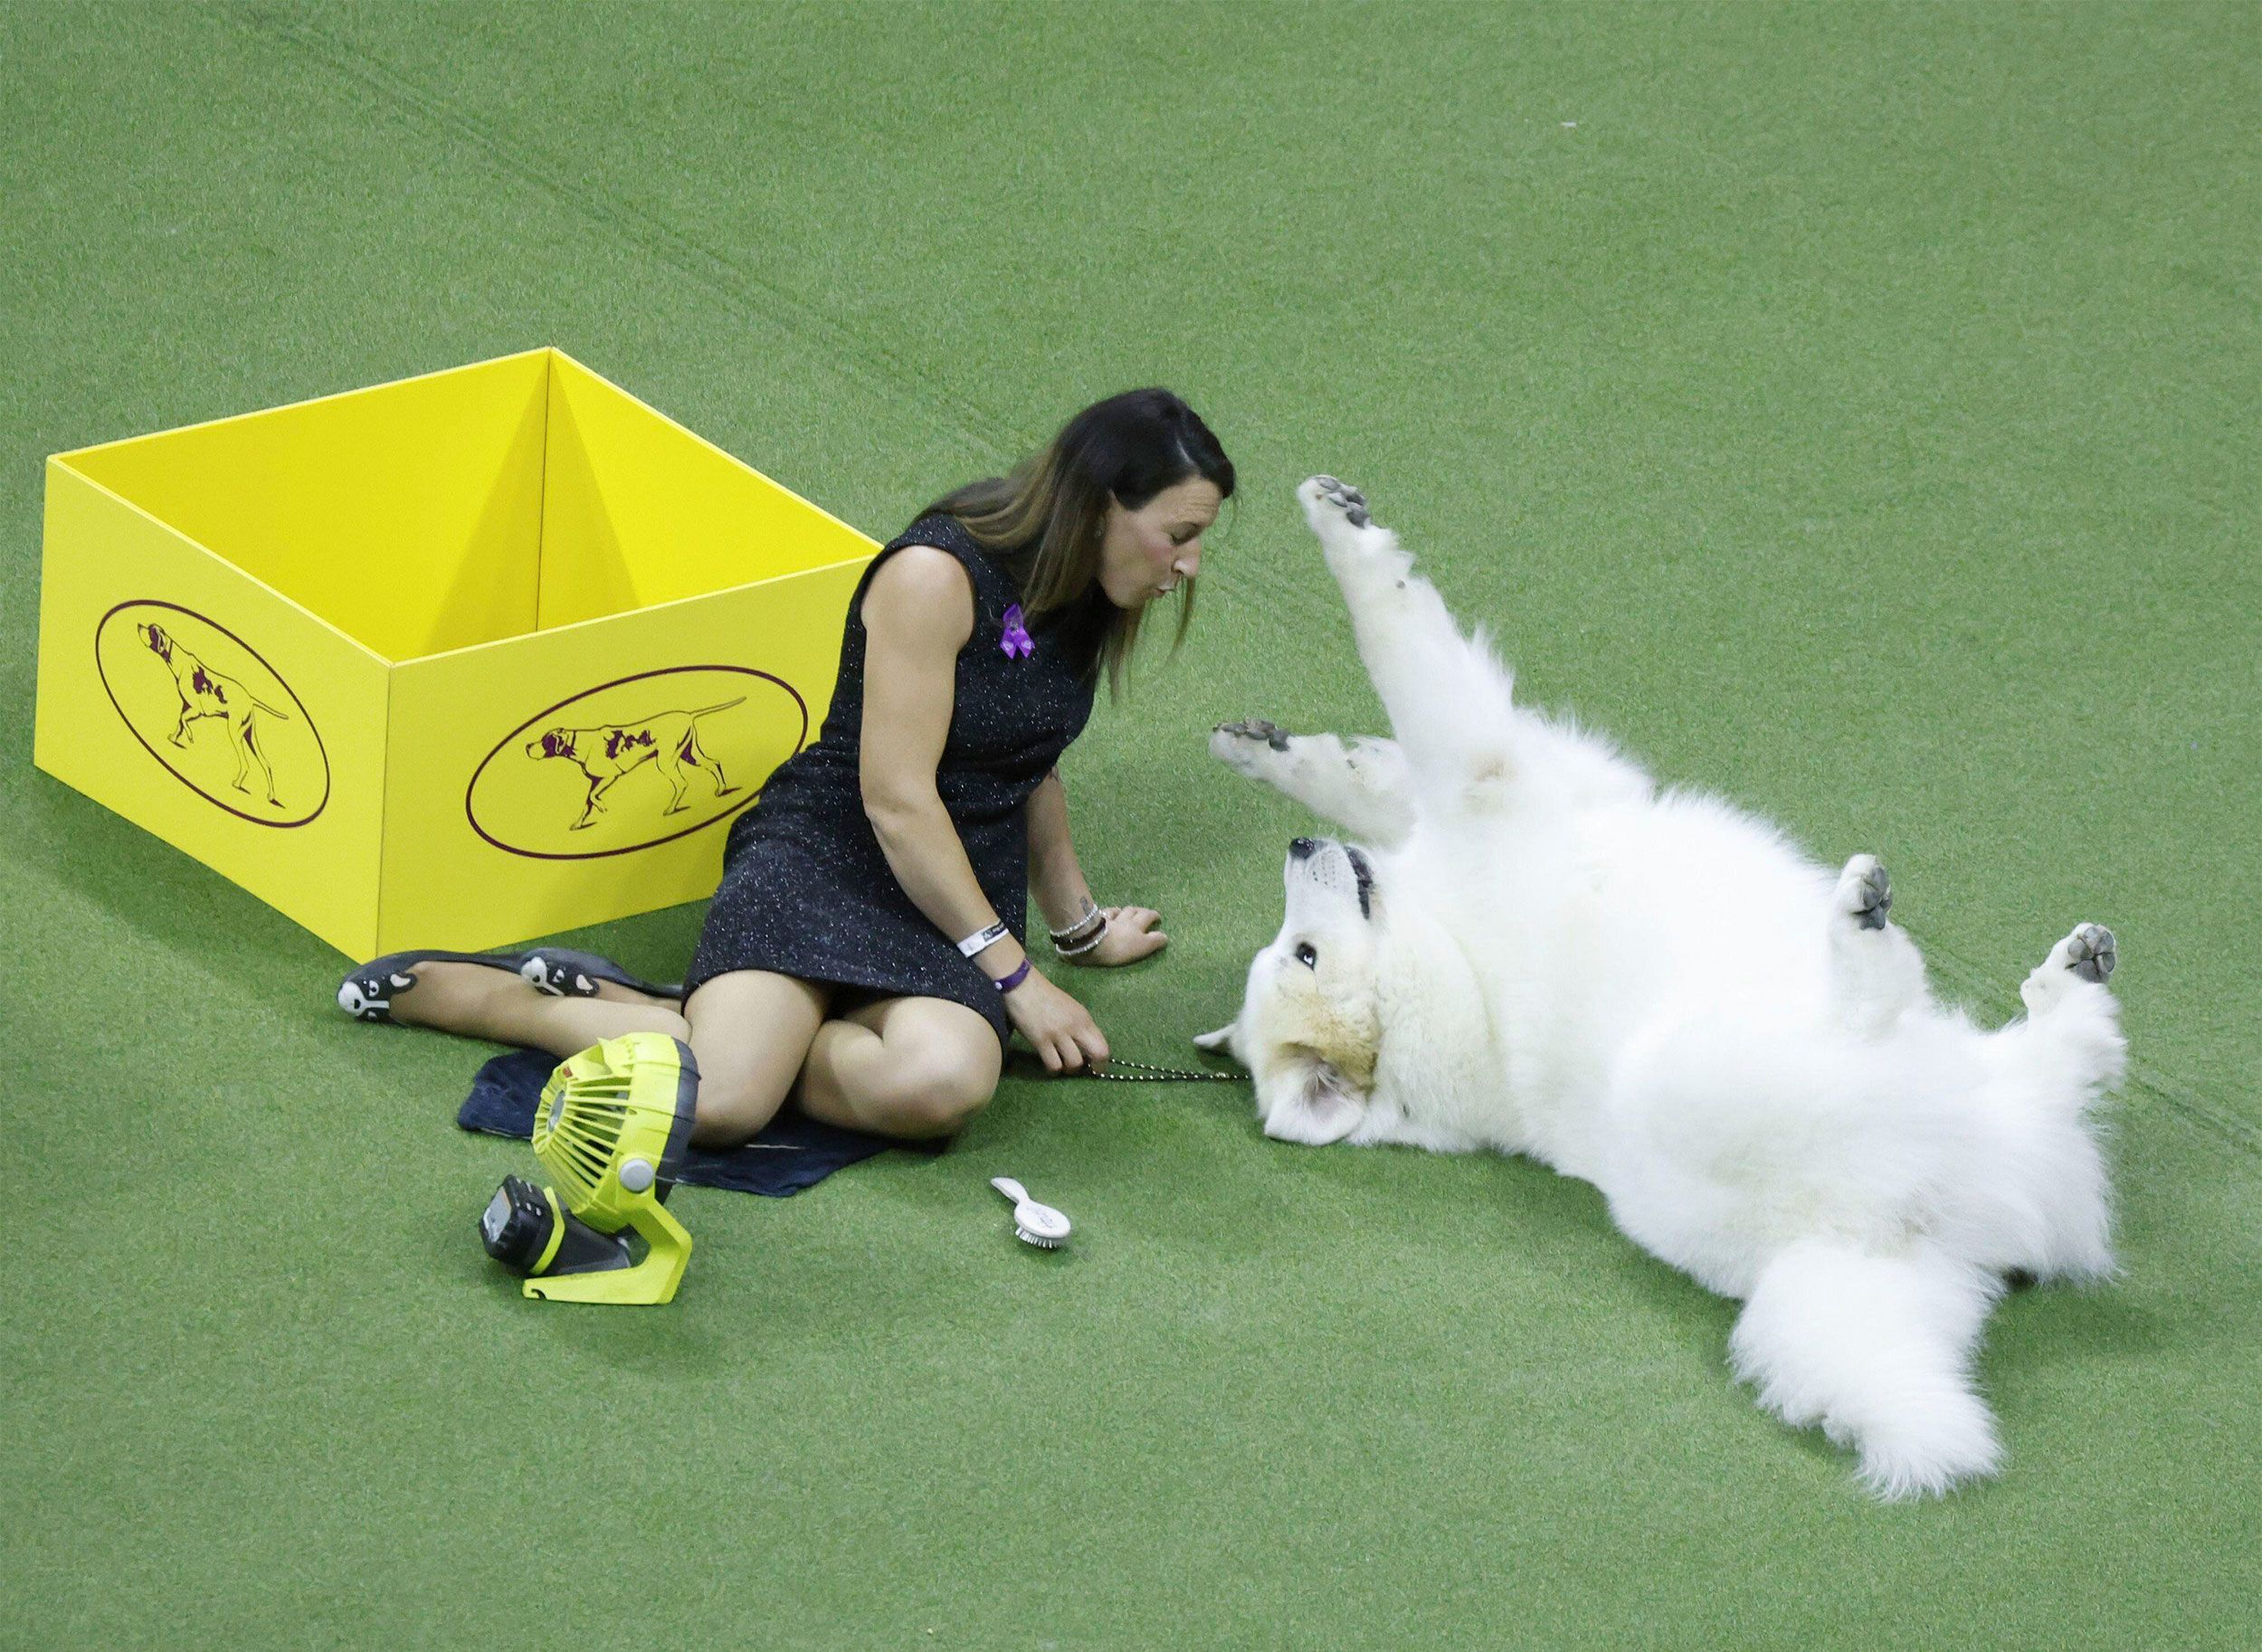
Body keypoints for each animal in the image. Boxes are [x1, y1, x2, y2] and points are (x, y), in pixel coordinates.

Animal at [1203, 475, 2117, 1493]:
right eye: (1304, 955)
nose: (1297, 850)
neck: (1454, 973)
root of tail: (1884, 1234)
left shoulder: (1495, 801)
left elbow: (1375, 782)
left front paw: (1264, 749)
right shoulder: (1488, 778)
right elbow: (1396, 638)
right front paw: (1344, 533)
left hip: (1992, 1108)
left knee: (2068, 1066)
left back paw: (2068, 980)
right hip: (1716, 1063)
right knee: (1900, 1008)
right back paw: (1866, 929)